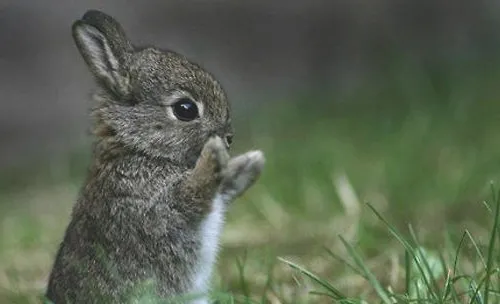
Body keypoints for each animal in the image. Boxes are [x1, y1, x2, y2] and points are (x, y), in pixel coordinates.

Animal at [46, 9, 266, 304]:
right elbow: (194, 192)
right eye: (185, 109)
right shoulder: (158, 206)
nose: (228, 137)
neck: (139, 149)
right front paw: (214, 153)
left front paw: (251, 162)